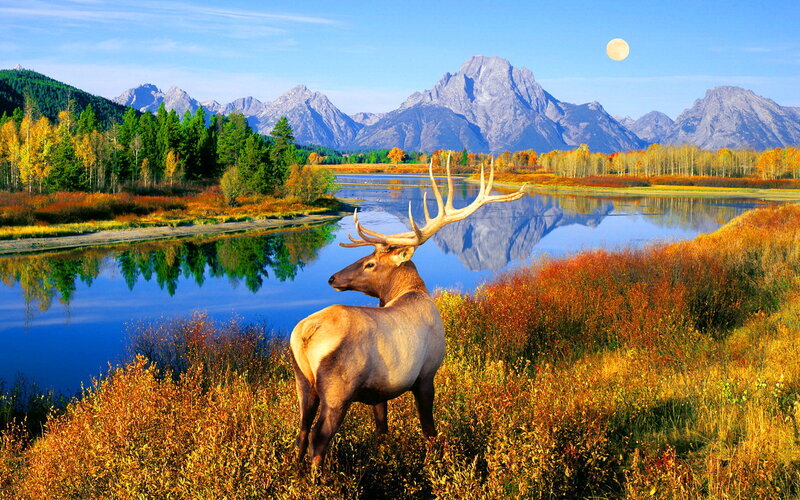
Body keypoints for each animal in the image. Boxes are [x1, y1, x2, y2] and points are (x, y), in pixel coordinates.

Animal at [289, 157, 526, 470]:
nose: (332, 278)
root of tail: (305, 334)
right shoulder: (426, 374)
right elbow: (429, 430)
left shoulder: (379, 391)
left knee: (302, 431)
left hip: (303, 381)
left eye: (370, 263)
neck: (413, 292)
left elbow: (382, 429)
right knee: (319, 437)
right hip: (339, 389)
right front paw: (435, 462)